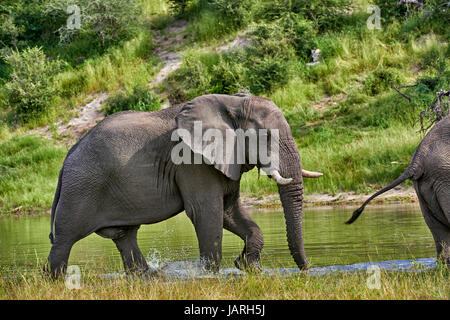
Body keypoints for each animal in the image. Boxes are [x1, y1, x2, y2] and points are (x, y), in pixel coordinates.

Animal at [43, 93, 324, 278]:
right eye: (266, 136)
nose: (306, 270)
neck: (233, 103)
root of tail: (67, 157)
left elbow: (229, 211)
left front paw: (249, 268)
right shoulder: (191, 160)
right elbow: (206, 212)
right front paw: (210, 275)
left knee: (125, 236)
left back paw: (149, 277)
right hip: (81, 189)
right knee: (65, 239)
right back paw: (54, 280)